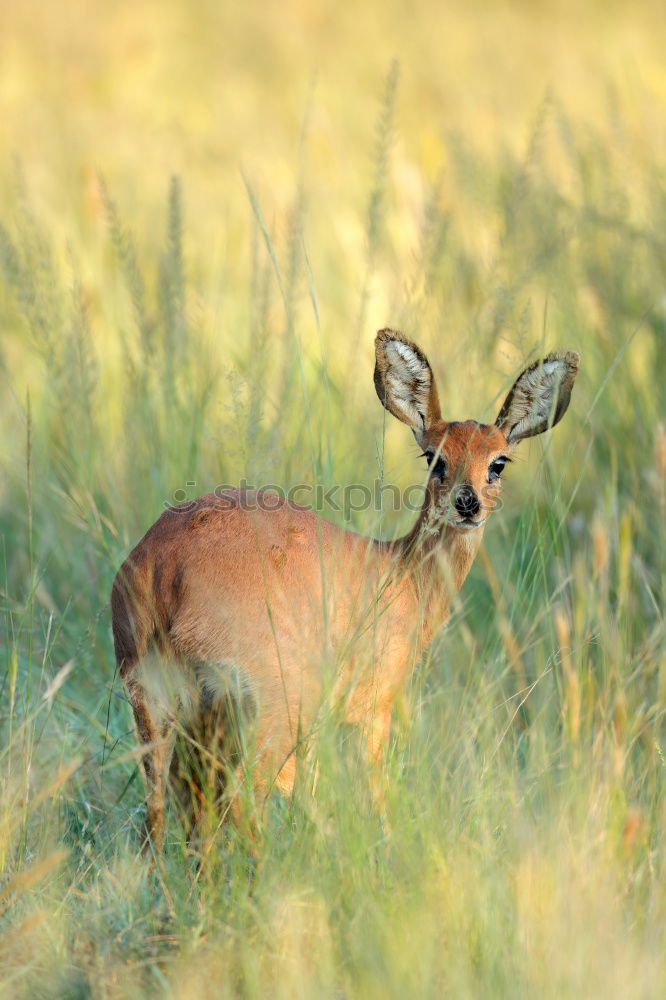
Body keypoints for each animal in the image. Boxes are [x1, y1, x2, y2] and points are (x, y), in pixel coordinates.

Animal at [109, 332, 576, 848]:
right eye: (434, 457)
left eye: (498, 462)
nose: (467, 503)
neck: (400, 576)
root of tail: (162, 570)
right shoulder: (374, 710)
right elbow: (374, 793)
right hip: (268, 706)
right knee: (244, 800)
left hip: (158, 702)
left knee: (162, 815)